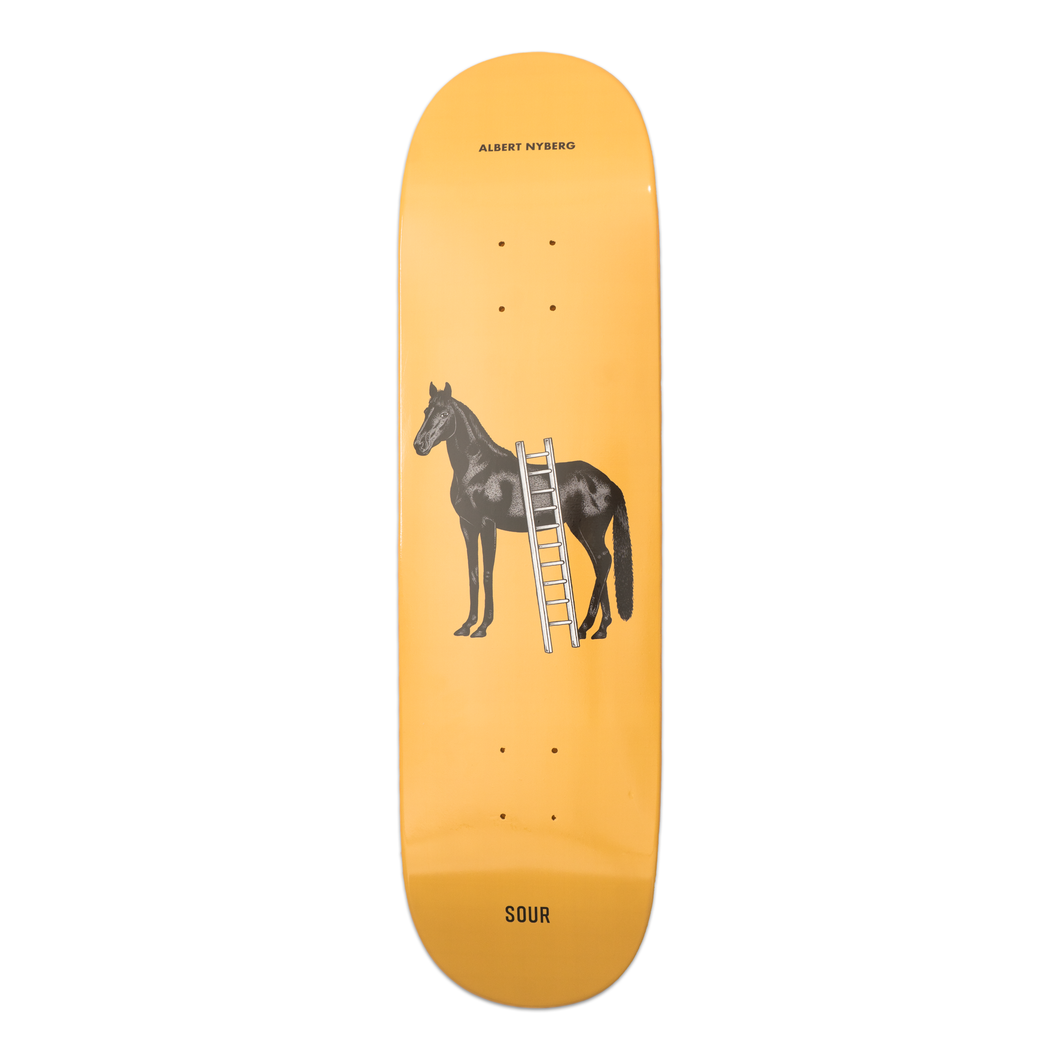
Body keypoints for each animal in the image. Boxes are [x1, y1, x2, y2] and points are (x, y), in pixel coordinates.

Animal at [412, 382, 633, 640]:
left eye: (445, 414)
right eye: (426, 412)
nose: (419, 445)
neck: (478, 469)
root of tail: (610, 483)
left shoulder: (487, 525)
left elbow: (487, 574)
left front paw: (482, 627)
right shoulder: (467, 525)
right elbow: (473, 575)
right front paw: (467, 625)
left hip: (589, 531)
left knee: (604, 562)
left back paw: (585, 626)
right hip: (582, 530)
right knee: (600, 564)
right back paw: (600, 629)